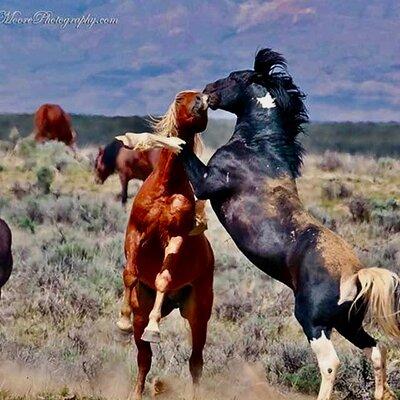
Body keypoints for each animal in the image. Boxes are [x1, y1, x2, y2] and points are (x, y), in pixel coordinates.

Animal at [117, 91, 214, 400]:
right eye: (182, 98)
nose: (202, 101)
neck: (167, 187)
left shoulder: (176, 237)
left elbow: (163, 278)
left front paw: (155, 328)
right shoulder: (136, 232)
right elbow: (130, 274)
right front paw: (122, 321)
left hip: (198, 314)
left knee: (196, 361)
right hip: (144, 309)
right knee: (144, 359)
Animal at [156, 50, 400, 400]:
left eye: (235, 76)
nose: (206, 90)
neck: (258, 148)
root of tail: (357, 275)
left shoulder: (205, 182)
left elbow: (181, 146)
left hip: (314, 322)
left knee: (331, 364)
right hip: (348, 324)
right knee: (377, 349)